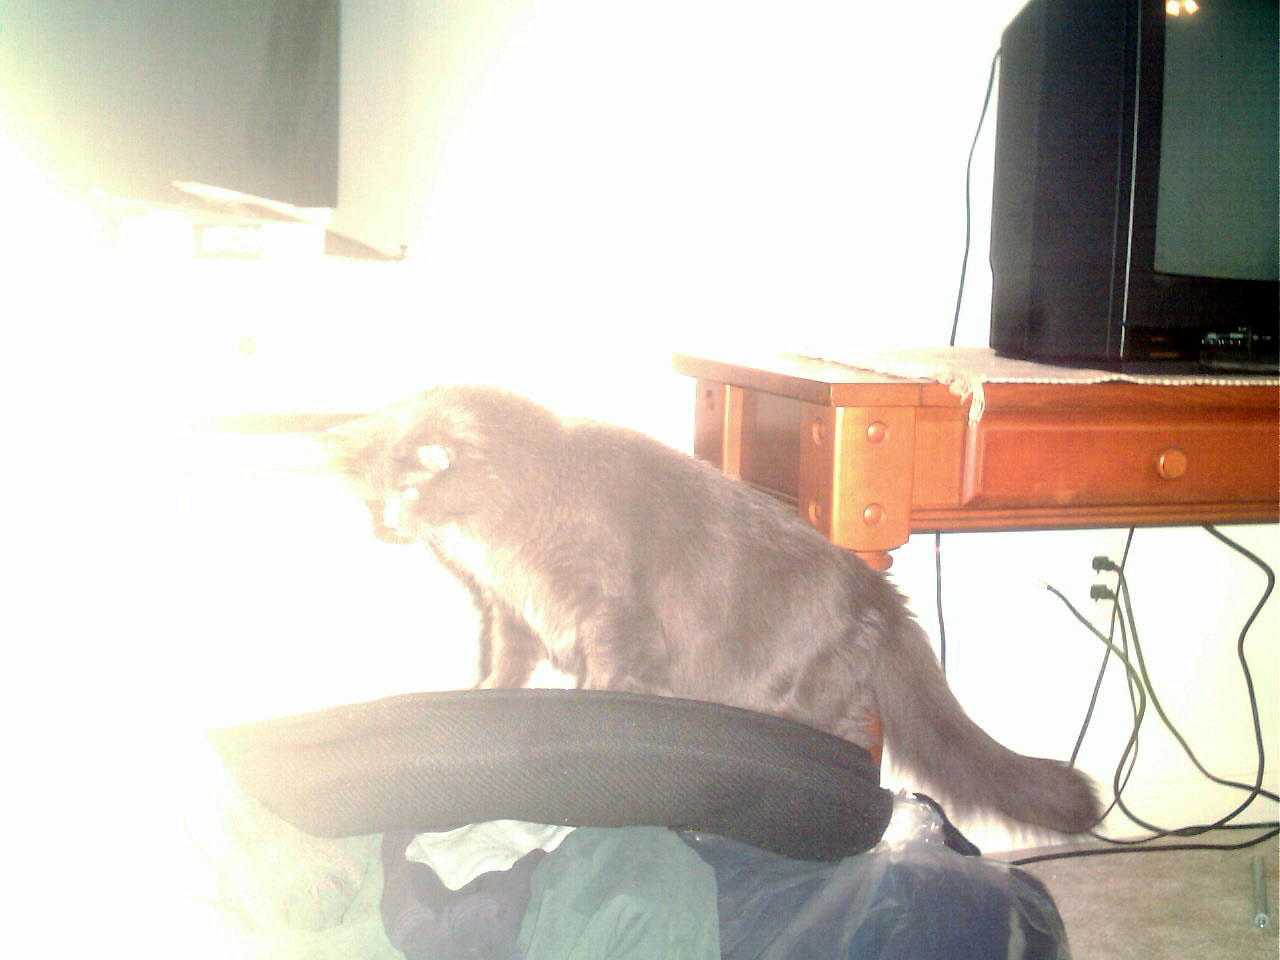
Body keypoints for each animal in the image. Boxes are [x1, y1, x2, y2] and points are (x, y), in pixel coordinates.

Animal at [328, 383, 1100, 835]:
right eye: (377, 496)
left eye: (410, 490)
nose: (387, 525)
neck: (504, 518)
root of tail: (878, 589)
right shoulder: (512, 611)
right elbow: (505, 668)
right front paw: (485, 697)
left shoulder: (611, 610)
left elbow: (603, 679)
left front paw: (591, 721)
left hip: (786, 688)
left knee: (850, 739)